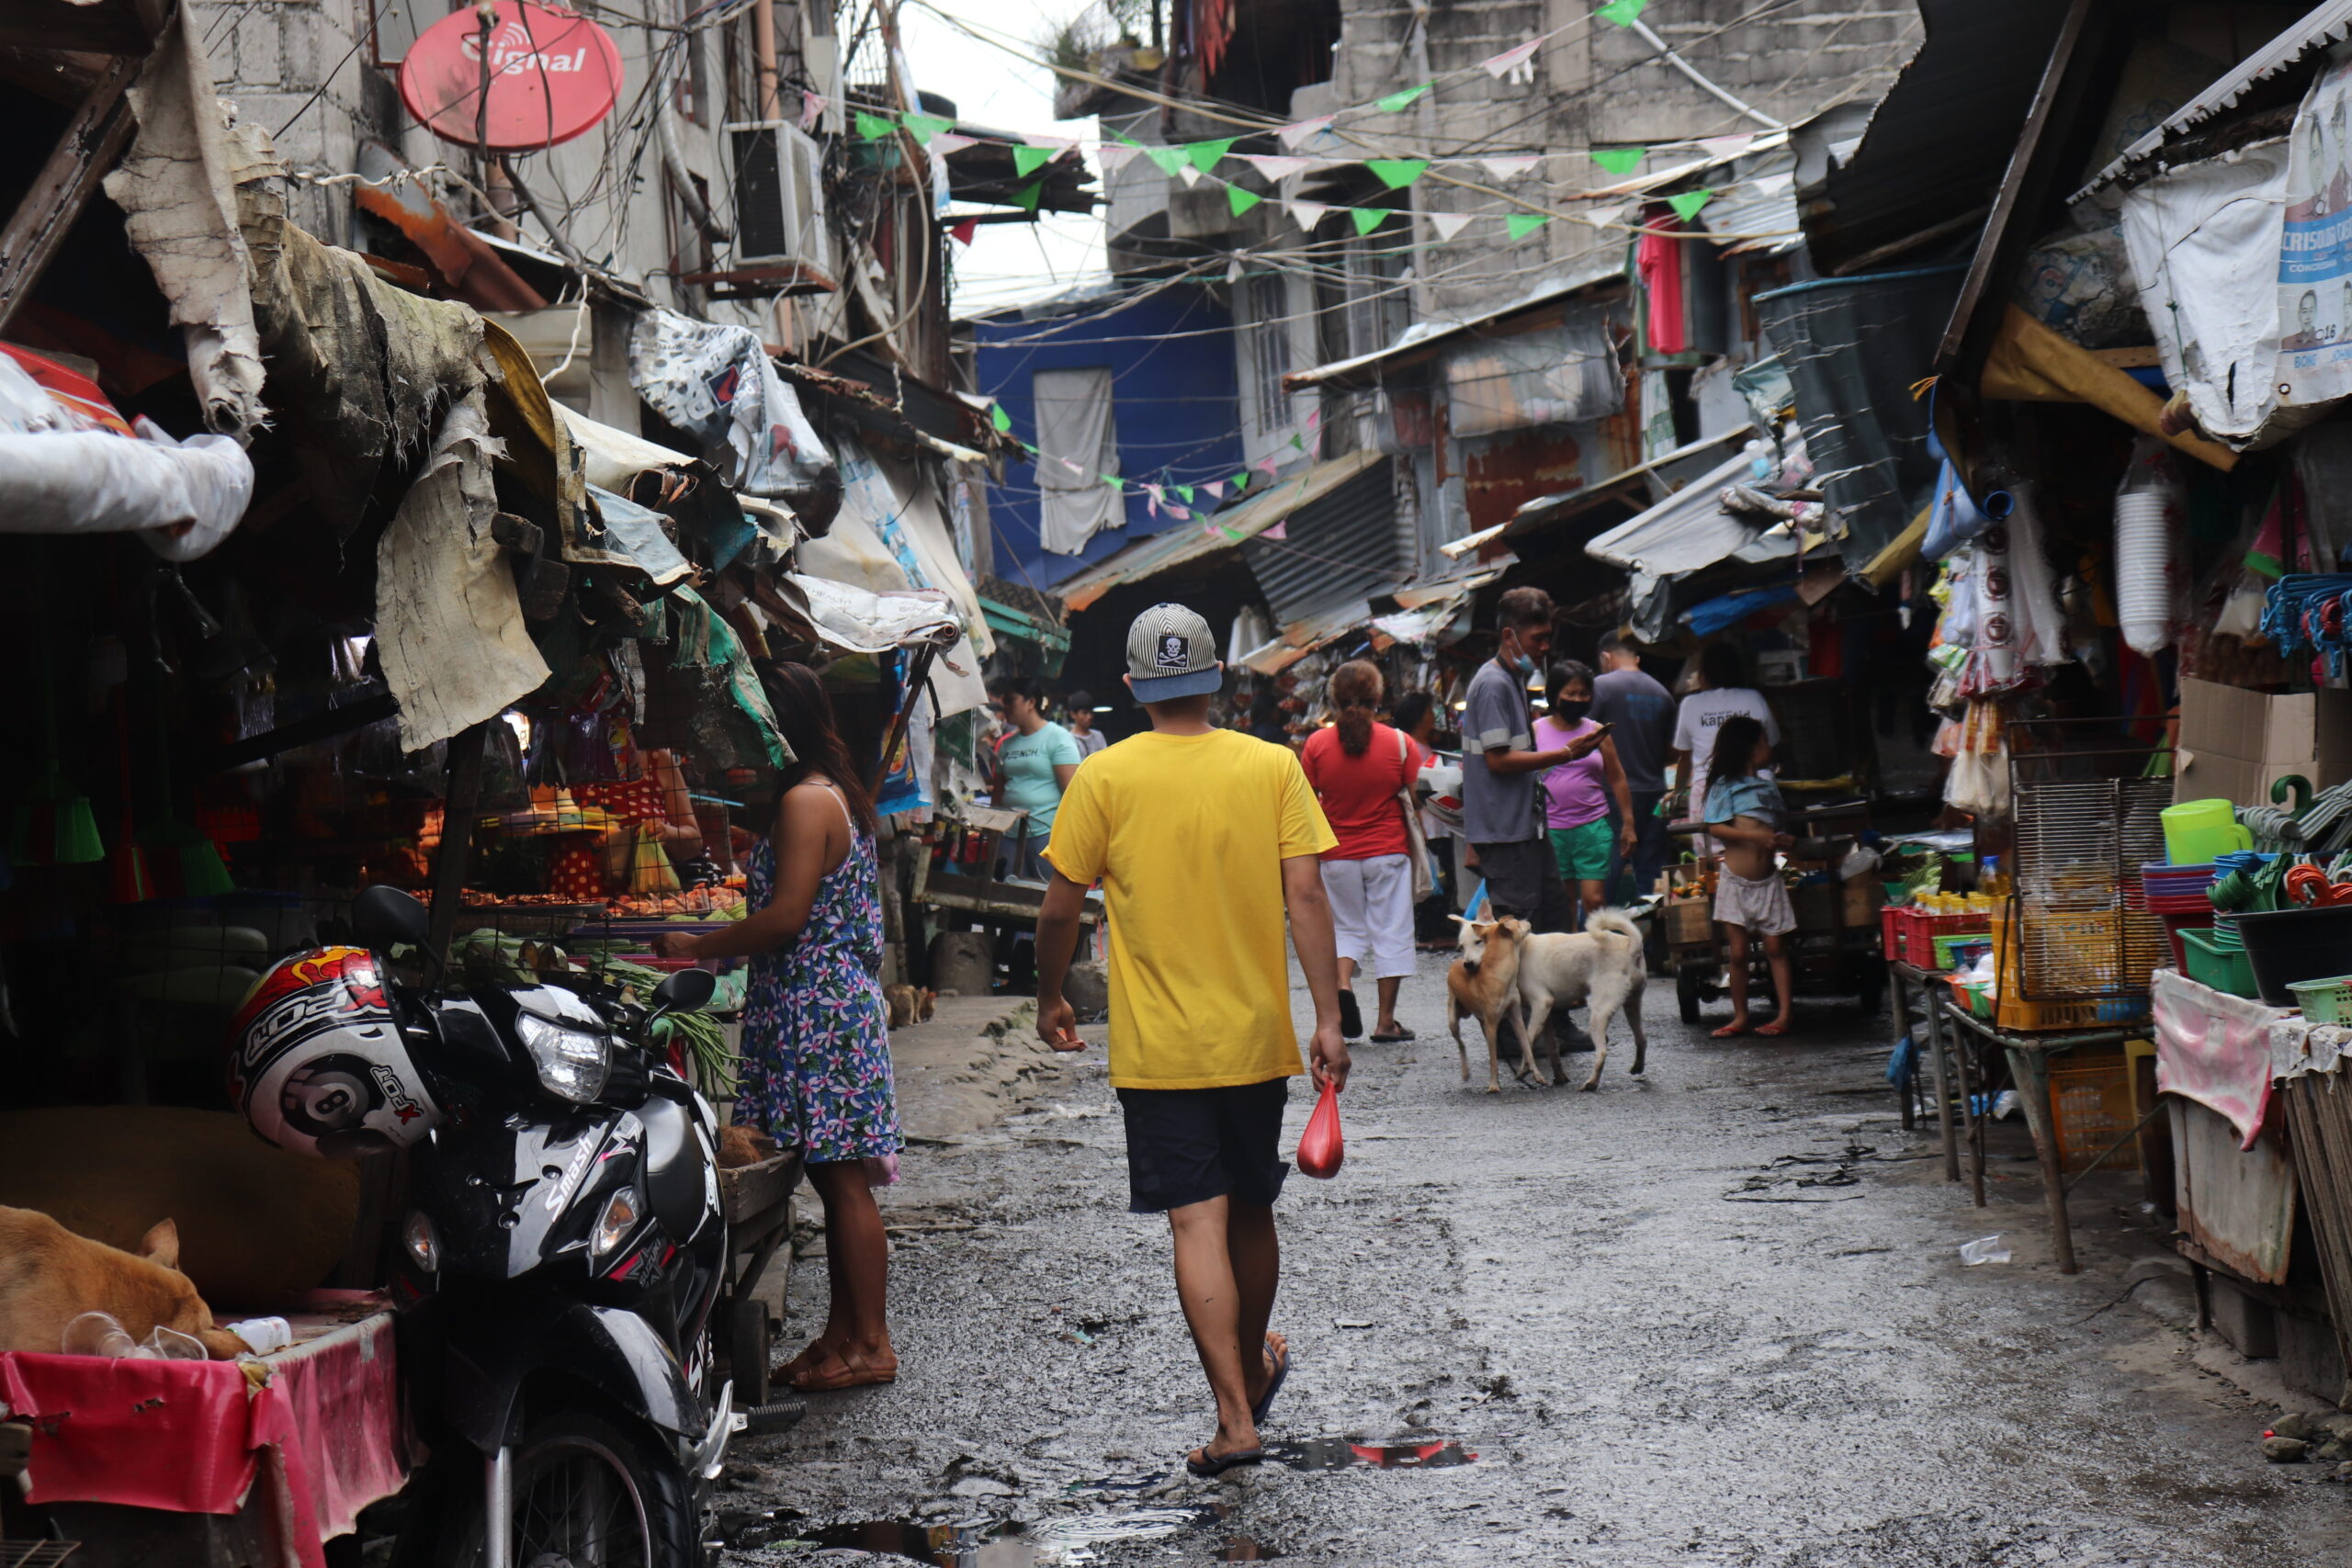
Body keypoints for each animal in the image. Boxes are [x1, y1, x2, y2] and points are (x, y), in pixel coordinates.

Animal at [1439, 911, 1533, 1100]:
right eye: (1518, 923)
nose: (1527, 920)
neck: (1501, 973)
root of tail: (1457, 962)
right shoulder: (1491, 1025)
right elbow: (1493, 1060)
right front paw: (1494, 1085)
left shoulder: (1515, 1016)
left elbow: (1527, 1047)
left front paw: (1538, 1076)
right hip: (1454, 1020)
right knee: (1461, 1044)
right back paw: (1466, 1072)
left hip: (1482, 1023)